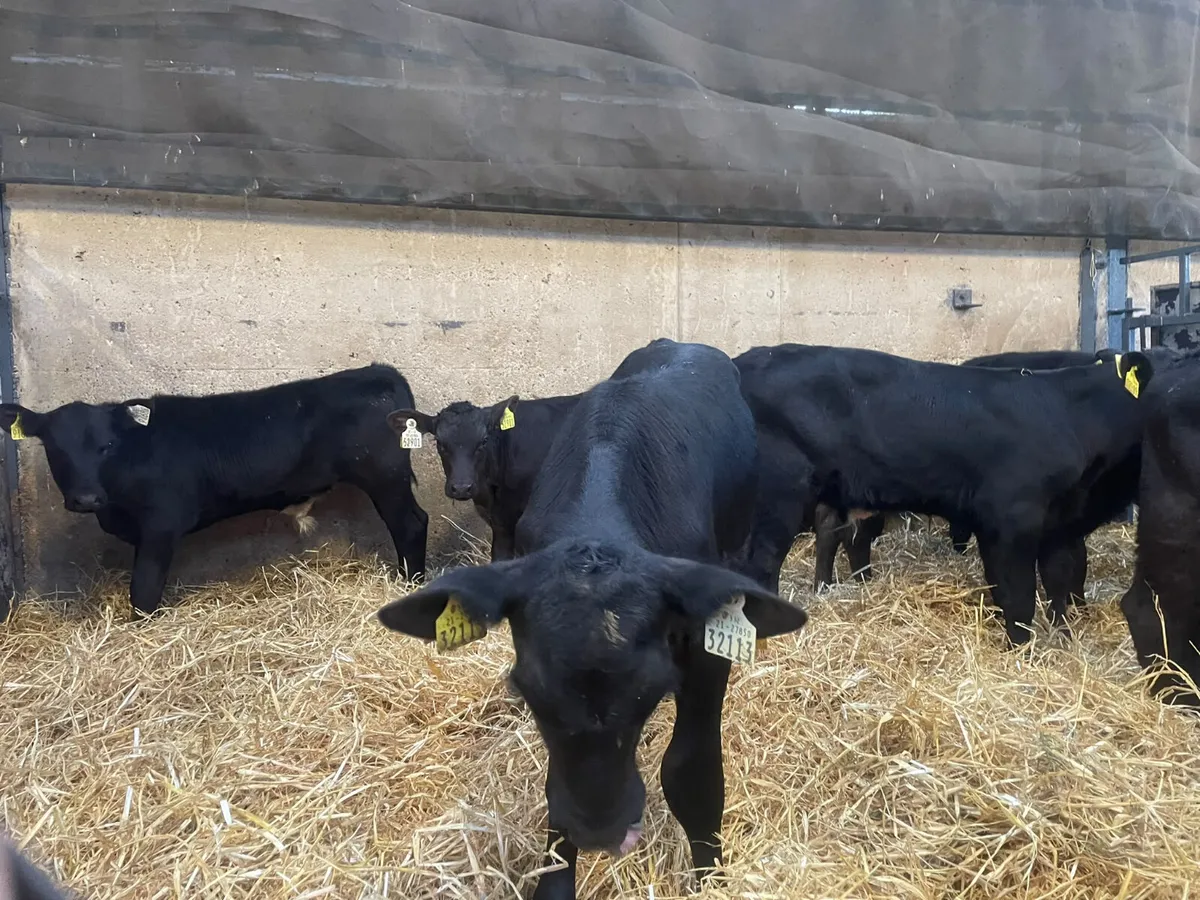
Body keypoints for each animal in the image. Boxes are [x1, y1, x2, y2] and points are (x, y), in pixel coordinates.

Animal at [0, 364, 428, 618]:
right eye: (54, 448)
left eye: (107, 445)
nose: (87, 498)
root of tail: (378, 371)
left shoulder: (161, 525)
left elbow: (144, 590)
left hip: (385, 477)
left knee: (411, 523)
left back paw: (413, 585)